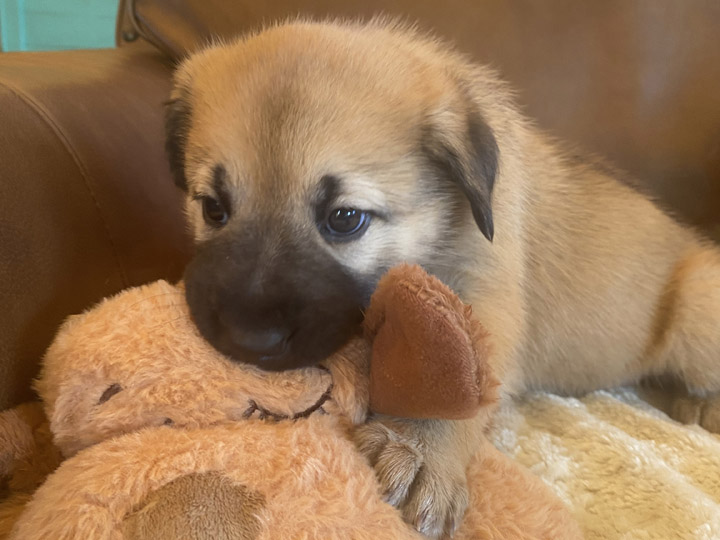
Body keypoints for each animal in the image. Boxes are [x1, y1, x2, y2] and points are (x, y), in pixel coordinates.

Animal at [163, 17, 720, 540]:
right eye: (213, 209)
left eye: (345, 219)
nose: (247, 340)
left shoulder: (486, 297)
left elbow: (454, 375)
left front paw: (421, 449)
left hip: (698, 302)